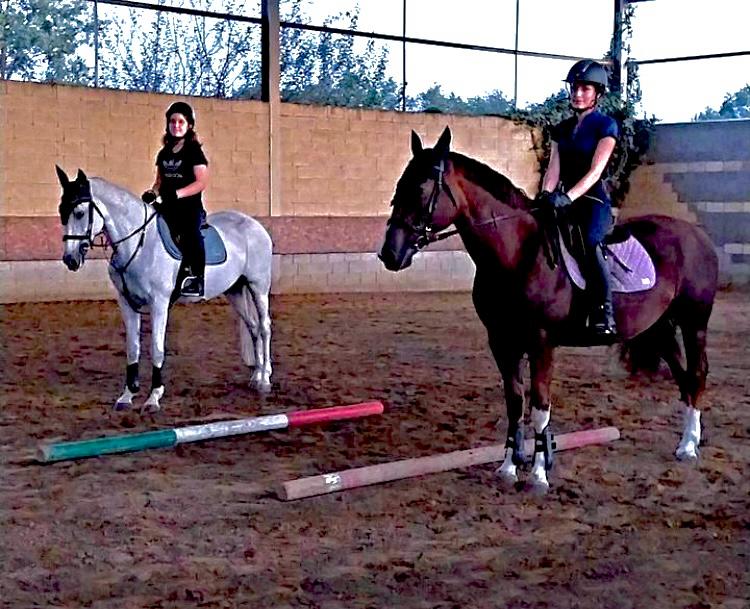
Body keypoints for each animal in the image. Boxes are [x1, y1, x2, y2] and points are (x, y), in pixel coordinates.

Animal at [56, 167, 273, 412]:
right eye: (62, 211)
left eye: (80, 213)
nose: (70, 259)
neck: (139, 245)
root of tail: (254, 225)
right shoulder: (127, 303)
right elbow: (133, 347)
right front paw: (127, 395)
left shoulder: (159, 304)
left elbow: (157, 349)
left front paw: (153, 398)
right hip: (235, 291)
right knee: (253, 326)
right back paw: (255, 376)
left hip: (258, 286)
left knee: (264, 327)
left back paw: (265, 379)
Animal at [379, 127, 718, 492]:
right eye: (399, 186)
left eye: (421, 189)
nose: (390, 253)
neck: (518, 254)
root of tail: (697, 234)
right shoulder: (502, 341)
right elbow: (515, 403)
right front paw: (508, 467)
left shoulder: (541, 342)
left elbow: (541, 405)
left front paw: (539, 474)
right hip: (659, 327)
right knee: (684, 377)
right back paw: (687, 441)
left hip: (694, 322)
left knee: (697, 373)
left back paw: (688, 446)